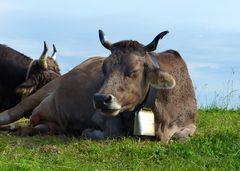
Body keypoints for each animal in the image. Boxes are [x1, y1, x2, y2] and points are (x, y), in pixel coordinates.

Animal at [0, 30, 196, 142]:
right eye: (104, 68)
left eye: (133, 71)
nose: (101, 99)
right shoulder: (103, 118)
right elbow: (112, 132)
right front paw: (88, 132)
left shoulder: (190, 124)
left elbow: (182, 135)